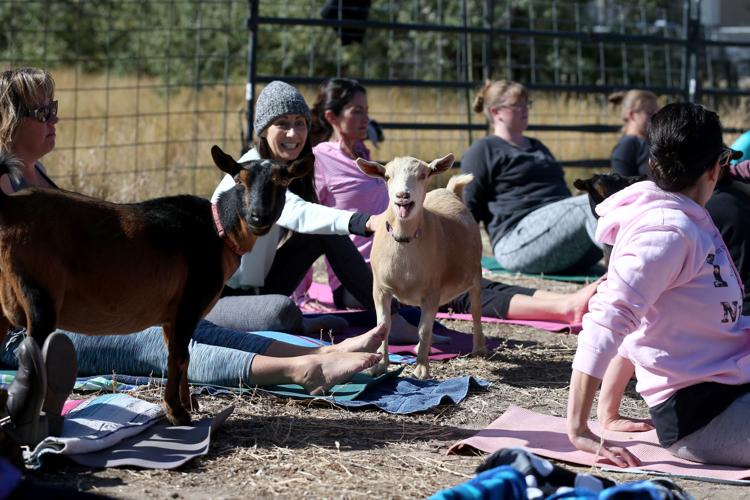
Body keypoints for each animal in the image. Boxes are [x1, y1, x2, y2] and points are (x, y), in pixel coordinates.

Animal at [0, 146, 308, 425]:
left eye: (282, 182)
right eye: (239, 180)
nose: (258, 217)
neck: (217, 232)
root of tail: (10, 208)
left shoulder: (172, 317)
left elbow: (183, 356)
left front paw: (188, 402)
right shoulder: (188, 306)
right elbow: (178, 356)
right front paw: (177, 413)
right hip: (39, 297)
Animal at [356, 154, 485, 380]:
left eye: (423, 175)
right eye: (387, 176)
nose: (402, 196)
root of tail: (450, 191)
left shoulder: (432, 290)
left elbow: (424, 329)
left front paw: (421, 369)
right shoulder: (380, 288)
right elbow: (383, 326)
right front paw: (379, 366)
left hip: (475, 274)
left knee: (476, 311)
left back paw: (479, 347)